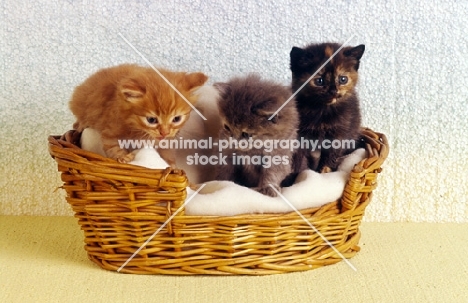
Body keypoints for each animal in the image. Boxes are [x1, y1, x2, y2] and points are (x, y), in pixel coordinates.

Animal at [69, 63, 207, 165]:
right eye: (151, 120)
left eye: (177, 119)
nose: (164, 133)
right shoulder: (110, 128)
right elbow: (112, 146)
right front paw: (123, 157)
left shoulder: (166, 142)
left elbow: (168, 156)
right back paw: (80, 125)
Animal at [288, 42, 366, 173]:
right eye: (319, 81)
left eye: (343, 79)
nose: (333, 91)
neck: (323, 110)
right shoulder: (300, 134)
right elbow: (297, 158)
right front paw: (294, 175)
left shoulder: (339, 133)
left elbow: (331, 156)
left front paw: (324, 172)